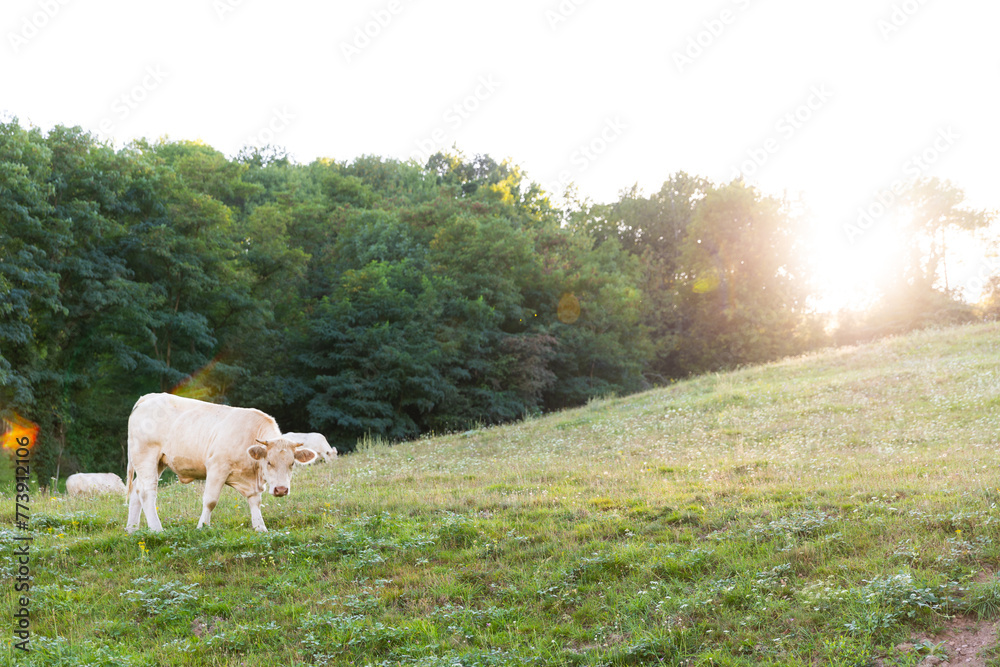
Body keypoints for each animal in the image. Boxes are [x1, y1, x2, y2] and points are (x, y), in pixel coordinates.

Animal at [125, 393, 317, 533]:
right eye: (269, 462)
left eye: (292, 463)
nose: (281, 490)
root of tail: (149, 397)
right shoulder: (217, 466)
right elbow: (210, 501)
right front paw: (202, 527)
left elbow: (255, 501)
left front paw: (260, 528)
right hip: (146, 456)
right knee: (147, 492)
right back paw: (157, 530)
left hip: (157, 462)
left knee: (136, 490)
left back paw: (132, 530)